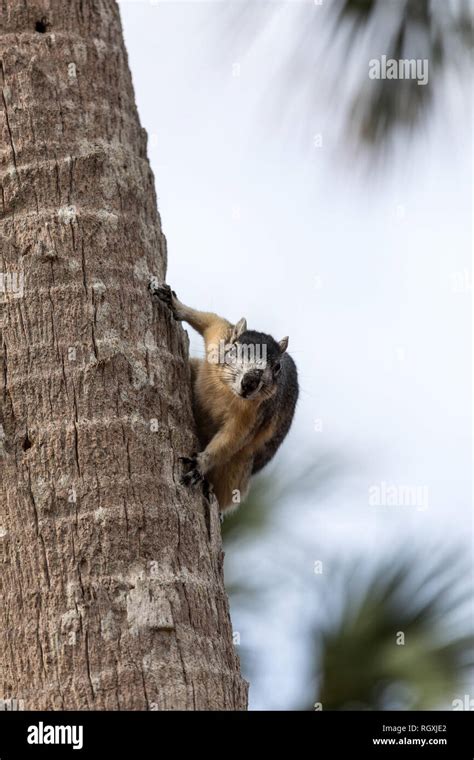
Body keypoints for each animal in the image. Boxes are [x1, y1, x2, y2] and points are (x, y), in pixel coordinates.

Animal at [150, 282, 298, 512]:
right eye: (234, 348)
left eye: (277, 367)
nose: (250, 381)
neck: (226, 391)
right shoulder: (219, 335)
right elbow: (209, 320)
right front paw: (174, 303)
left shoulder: (253, 416)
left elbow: (230, 439)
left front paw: (200, 464)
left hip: (237, 470)